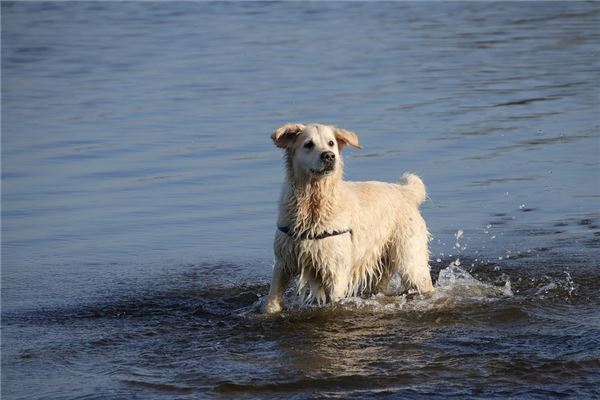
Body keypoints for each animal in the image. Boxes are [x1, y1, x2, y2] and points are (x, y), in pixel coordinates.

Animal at [264, 123, 434, 314]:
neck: (314, 204)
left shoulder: (335, 271)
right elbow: (272, 299)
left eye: (331, 143)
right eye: (308, 144)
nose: (329, 156)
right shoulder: (283, 260)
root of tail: (403, 190)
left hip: (410, 258)